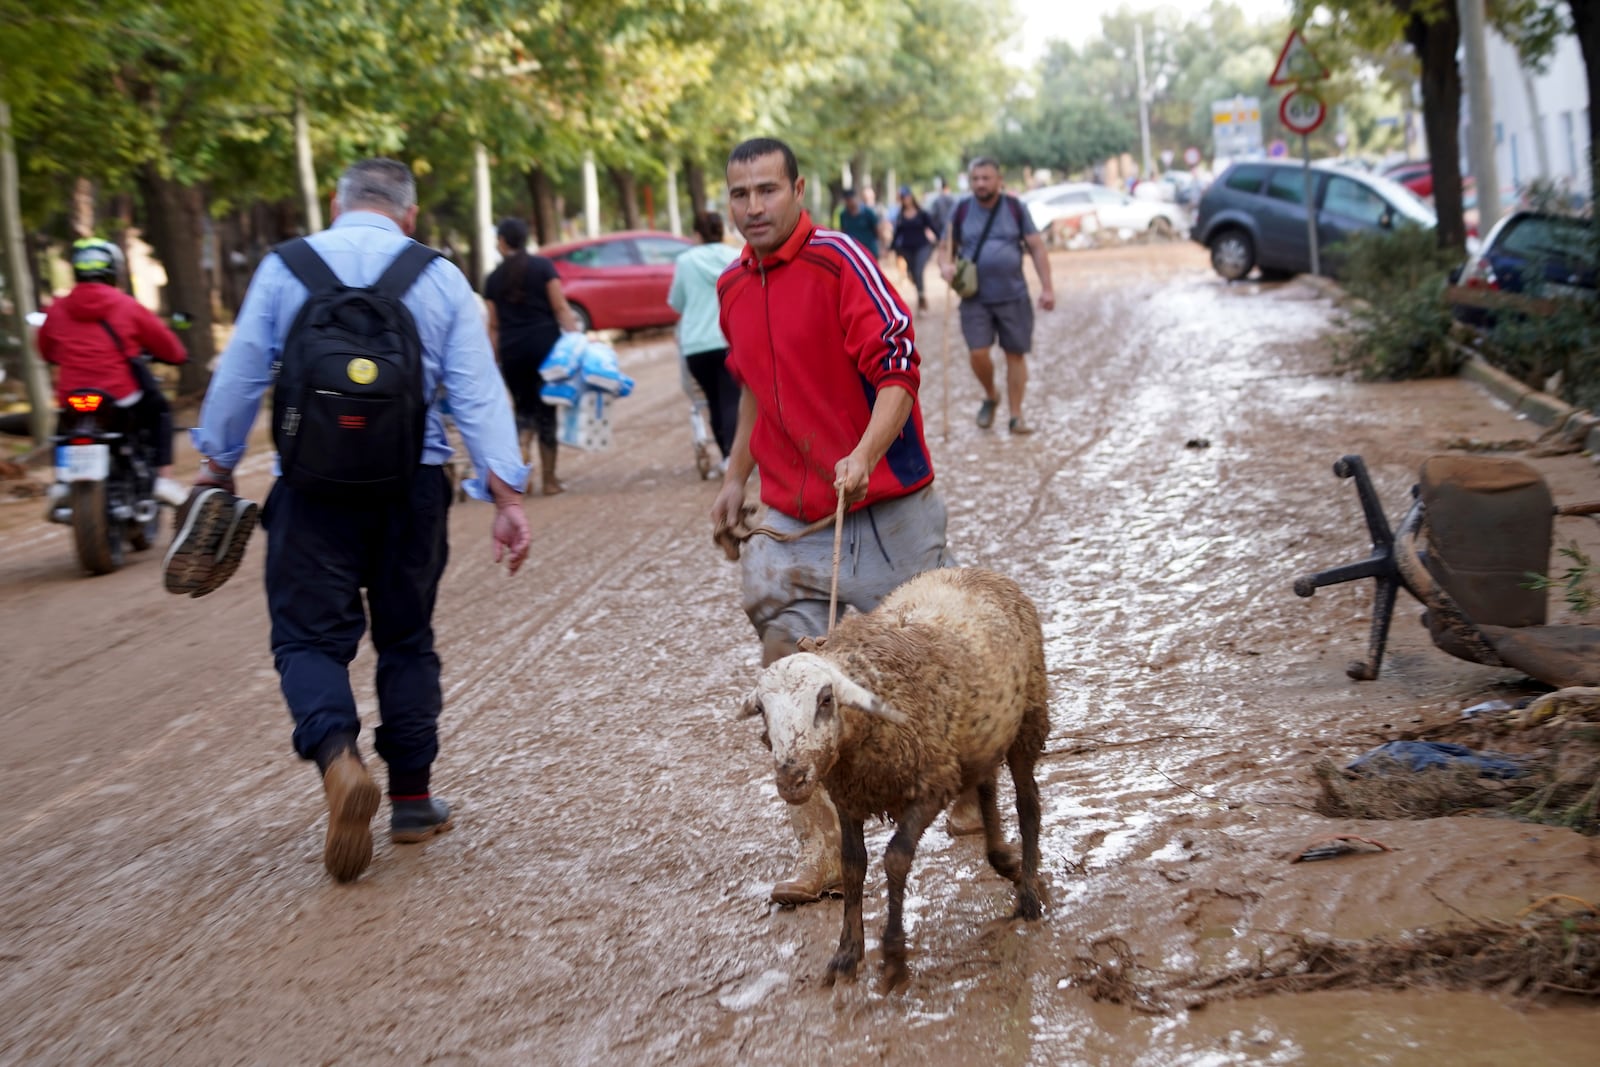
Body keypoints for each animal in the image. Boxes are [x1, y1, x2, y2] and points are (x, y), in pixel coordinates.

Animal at [736, 566, 1049, 991]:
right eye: (763, 711)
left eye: (826, 700)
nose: (791, 780)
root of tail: (970, 569)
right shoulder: (848, 795)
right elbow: (853, 866)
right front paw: (847, 954)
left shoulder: (931, 783)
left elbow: (896, 857)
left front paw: (894, 954)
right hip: (982, 736)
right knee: (986, 787)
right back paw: (1005, 862)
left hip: (1028, 718)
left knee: (1028, 803)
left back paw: (1029, 894)